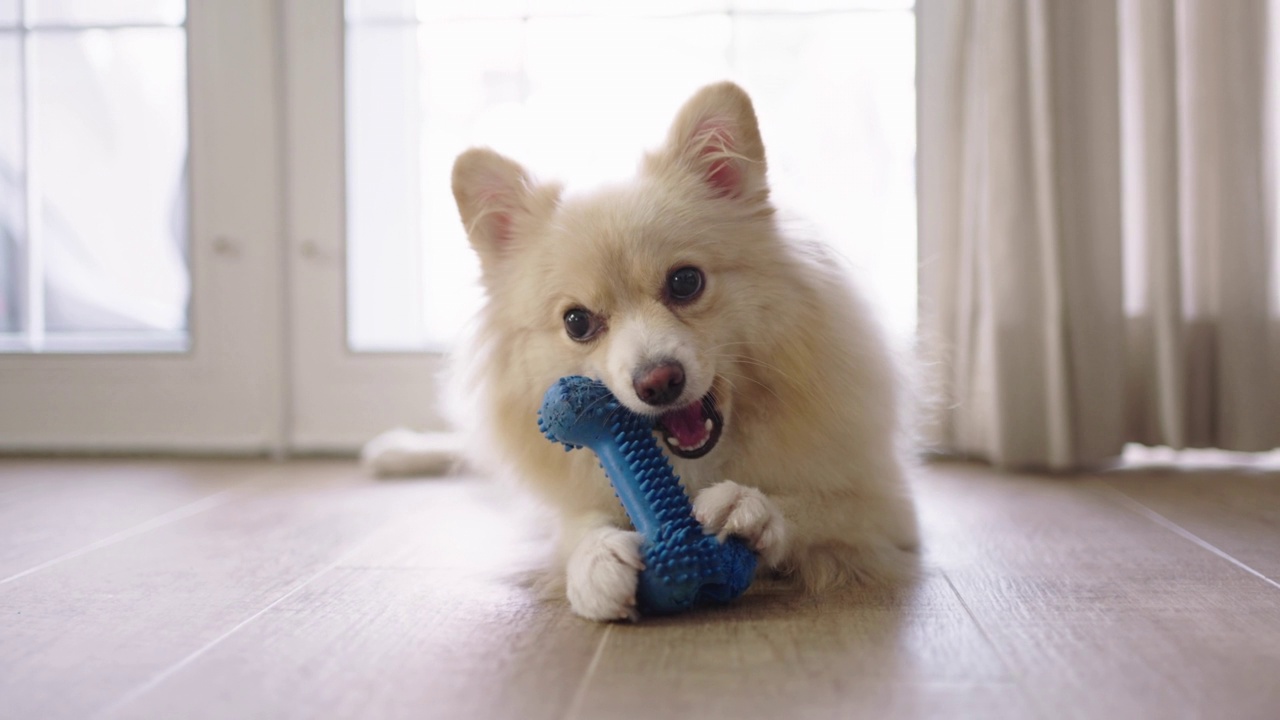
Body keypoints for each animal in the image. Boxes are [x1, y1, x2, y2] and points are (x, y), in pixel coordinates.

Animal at [366, 81, 916, 620]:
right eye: (577, 322)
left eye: (686, 282)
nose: (658, 382)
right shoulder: (565, 505)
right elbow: (576, 525)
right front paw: (594, 561)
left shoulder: (891, 511)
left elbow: (818, 508)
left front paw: (751, 507)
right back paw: (394, 450)